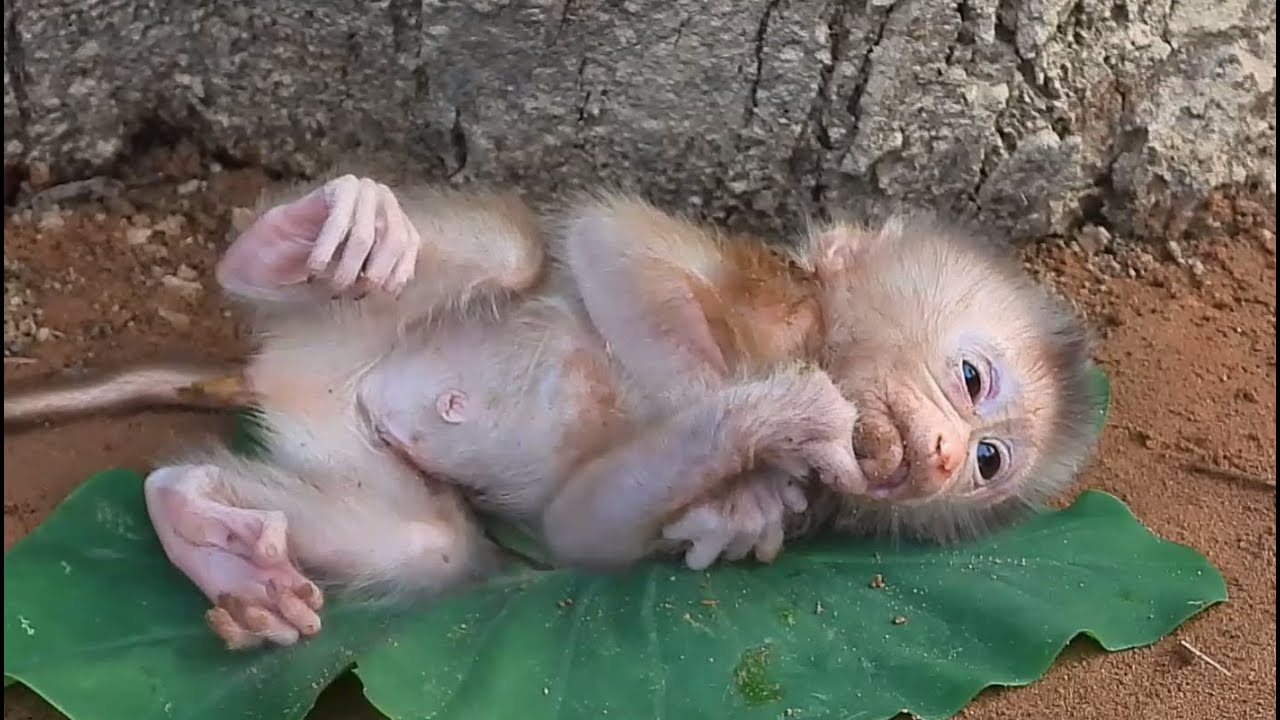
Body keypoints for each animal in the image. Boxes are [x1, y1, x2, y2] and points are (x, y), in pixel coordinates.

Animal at [2, 173, 1101, 651]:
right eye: (972, 380)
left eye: (991, 462)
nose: (946, 454)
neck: (810, 335)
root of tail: (276, 376)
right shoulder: (763, 288)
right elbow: (611, 248)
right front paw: (767, 430)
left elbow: (583, 535)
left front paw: (747, 480)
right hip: (339, 319)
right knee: (512, 249)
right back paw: (288, 242)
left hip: (341, 439)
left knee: (427, 546)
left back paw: (202, 527)